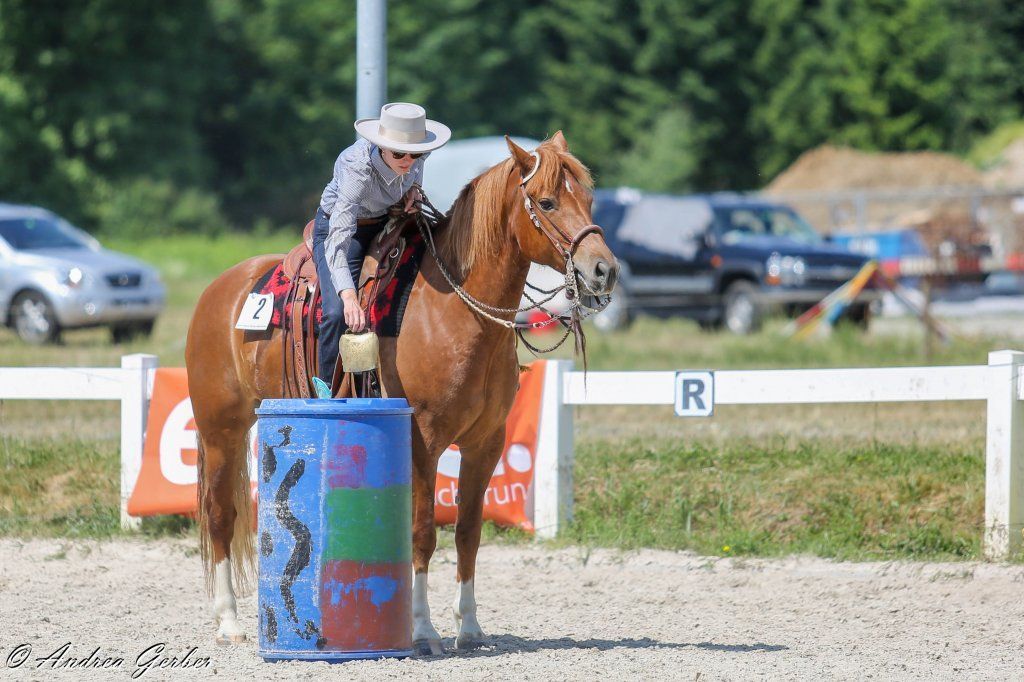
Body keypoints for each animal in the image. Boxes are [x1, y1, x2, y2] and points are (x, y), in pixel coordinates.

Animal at [184, 131, 618, 653]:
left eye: (589, 199)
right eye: (548, 201)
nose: (604, 270)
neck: (455, 313)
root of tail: (221, 289)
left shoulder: (486, 443)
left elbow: (467, 532)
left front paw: (469, 627)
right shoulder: (423, 442)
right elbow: (422, 532)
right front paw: (423, 629)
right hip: (220, 430)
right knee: (219, 515)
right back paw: (229, 621)